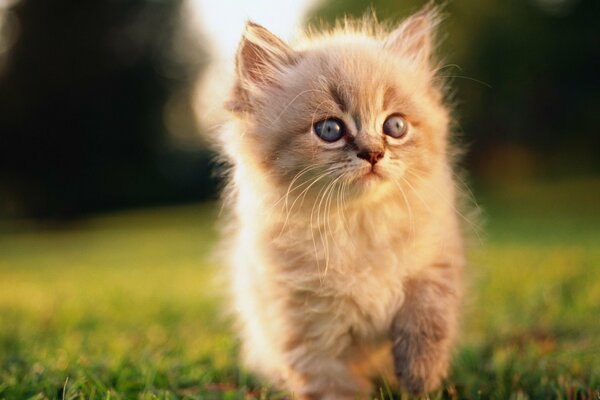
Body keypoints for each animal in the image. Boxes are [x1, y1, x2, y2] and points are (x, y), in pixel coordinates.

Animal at [218, 4, 466, 398]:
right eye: (330, 130)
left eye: (395, 127)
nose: (374, 153)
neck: (357, 224)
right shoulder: (307, 334)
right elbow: (333, 387)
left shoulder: (435, 262)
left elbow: (428, 320)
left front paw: (421, 378)